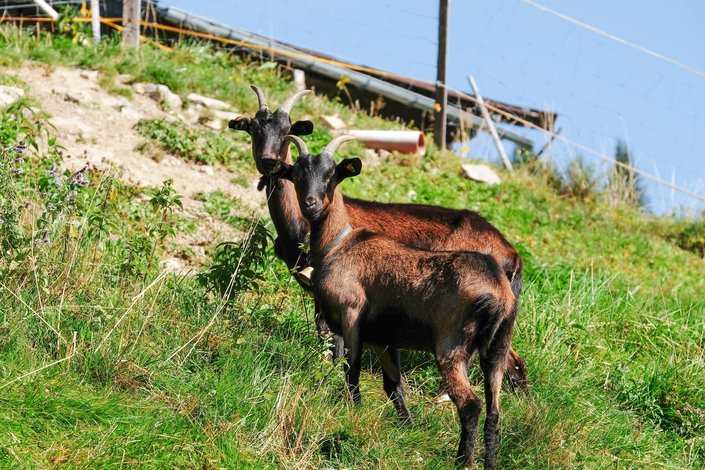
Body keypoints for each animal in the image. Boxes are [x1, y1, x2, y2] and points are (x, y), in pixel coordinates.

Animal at [270, 134, 516, 468]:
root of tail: (499, 293)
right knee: (494, 410)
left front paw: (353, 410)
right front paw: (407, 427)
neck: (338, 245)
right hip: (497, 351)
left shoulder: (352, 315)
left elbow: (352, 369)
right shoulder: (383, 338)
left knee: (471, 404)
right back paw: (487, 461)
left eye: (331, 175)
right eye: (296, 175)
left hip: (451, 346)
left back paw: (461, 459)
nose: (310, 204)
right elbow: (393, 386)